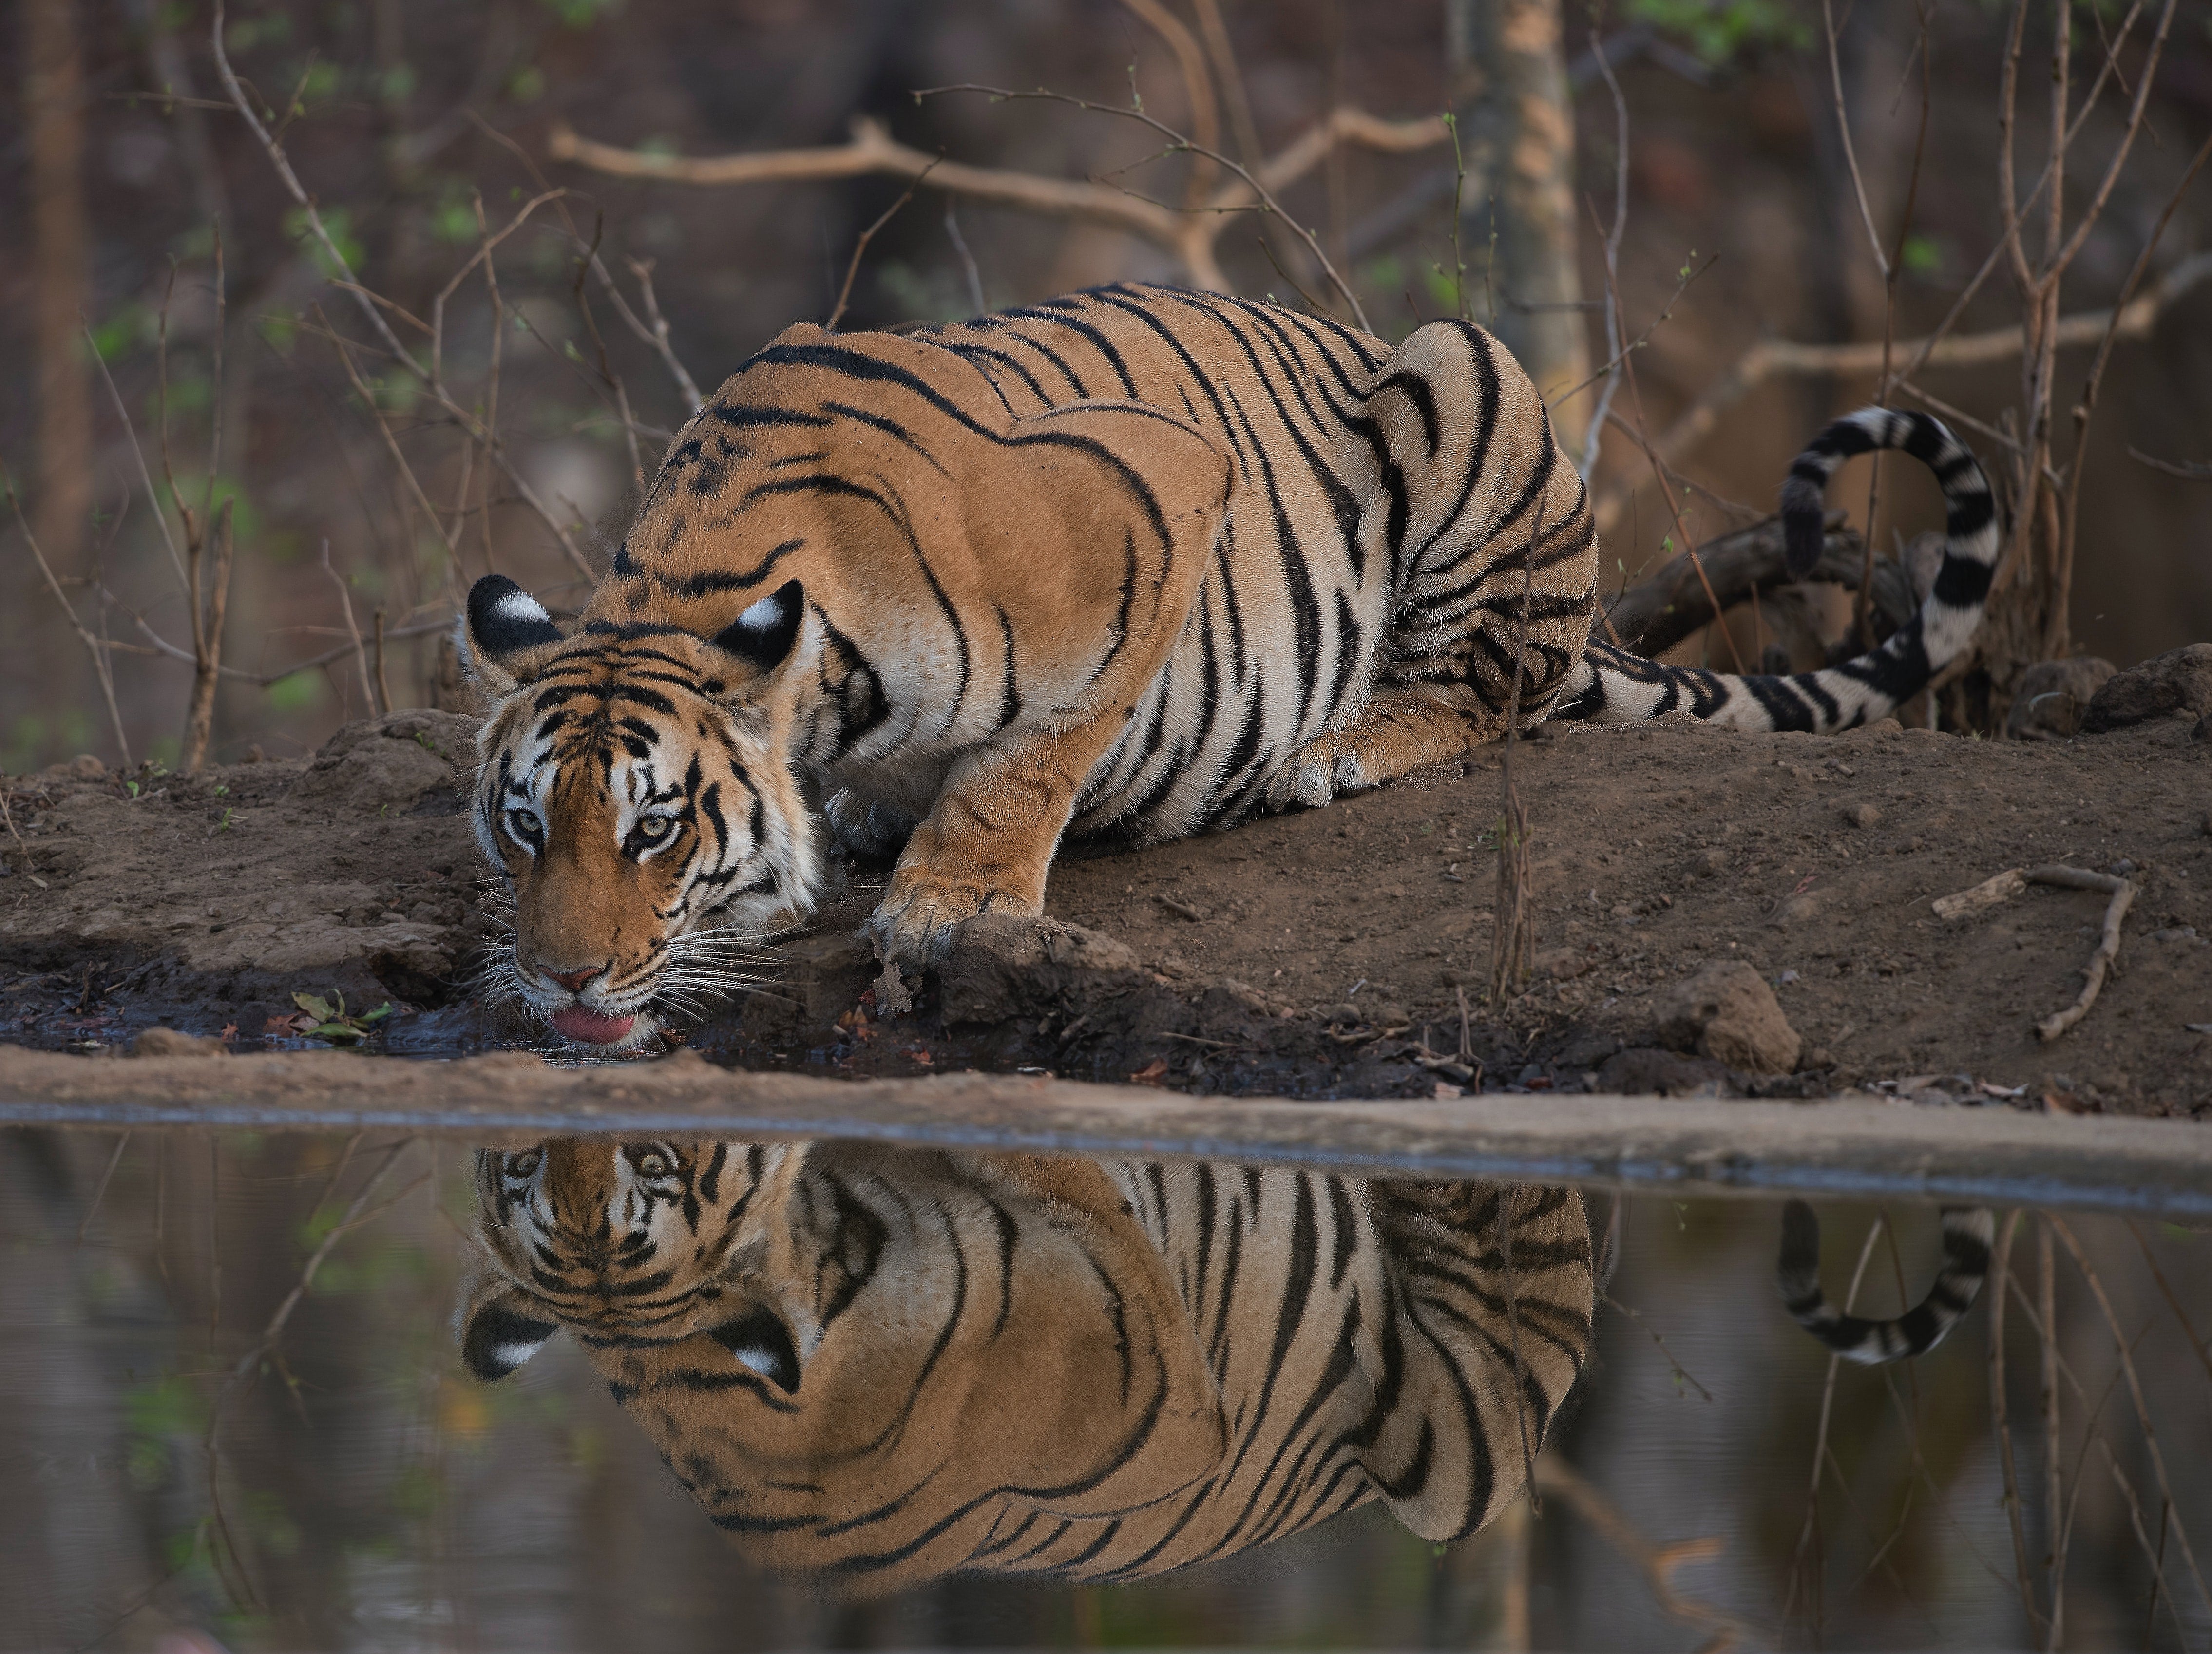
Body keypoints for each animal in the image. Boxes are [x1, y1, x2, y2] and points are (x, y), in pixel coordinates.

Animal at [457, 281, 1999, 1046]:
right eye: (525, 826)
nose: (562, 983)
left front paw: (951, 903)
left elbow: (1031, 759)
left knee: (1494, 689)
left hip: (1462, 374)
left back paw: (1341, 747)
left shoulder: (1153, 495)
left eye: (655, 829)